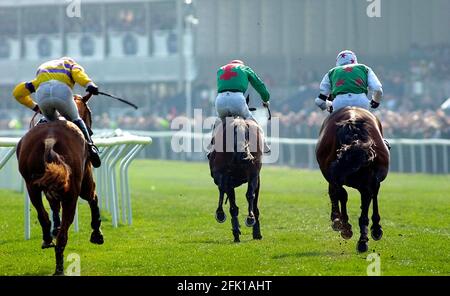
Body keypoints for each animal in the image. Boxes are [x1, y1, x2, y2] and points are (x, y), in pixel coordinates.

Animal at [16, 93, 103, 276]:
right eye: (90, 112)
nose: (91, 131)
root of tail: (50, 140)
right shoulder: (85, 178)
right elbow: (93, 198)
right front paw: (97, 233)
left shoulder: (51, 185)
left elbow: (53, 206)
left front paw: (54, 228)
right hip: (73, 192)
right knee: (65, 232)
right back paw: (59, 267)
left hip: (32, 186)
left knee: (43, 215)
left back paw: (48, 239)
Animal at [314, 107, 388, 253]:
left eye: (356, 166)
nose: (337, 175)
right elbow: (342, 195)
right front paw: (344, 226)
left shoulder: (367, 182)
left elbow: (362, 205)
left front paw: (360, 239)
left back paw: (374, 229)